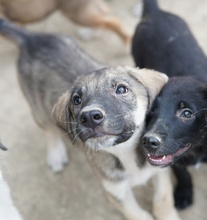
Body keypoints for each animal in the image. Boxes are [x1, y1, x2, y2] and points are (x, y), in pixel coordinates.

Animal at [0, 19, 179, 220]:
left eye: (121, 89)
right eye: (77, 100)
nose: (89, 117)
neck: (124, 152)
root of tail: (31, 38)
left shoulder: (159, 170)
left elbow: (163, 202)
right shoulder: (116, 193)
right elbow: (140, 215)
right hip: (38, 109)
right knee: (48, 128)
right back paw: (55, 154)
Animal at [132, 0, 207, 210]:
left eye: (187, 113)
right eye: (151, 111)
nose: (148, 141)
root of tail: (156, 12)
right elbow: (182, 173)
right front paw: (184, 193)